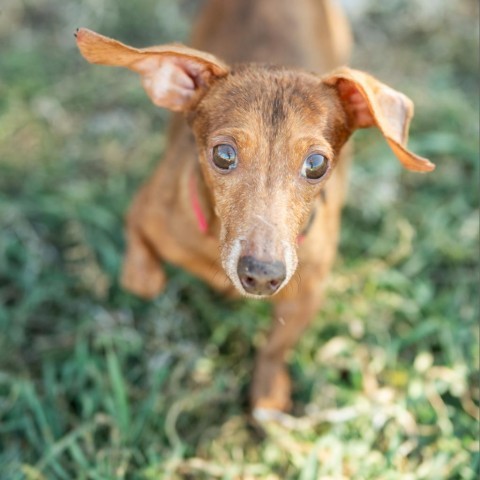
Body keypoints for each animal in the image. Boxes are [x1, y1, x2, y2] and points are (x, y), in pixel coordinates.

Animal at [76, 0, 436, 420]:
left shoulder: (308, 291)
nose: (262, 275)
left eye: (317, 164)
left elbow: (275, 347)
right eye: (223, 154)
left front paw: (268, 392)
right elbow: (143, 281)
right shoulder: (141, 215)